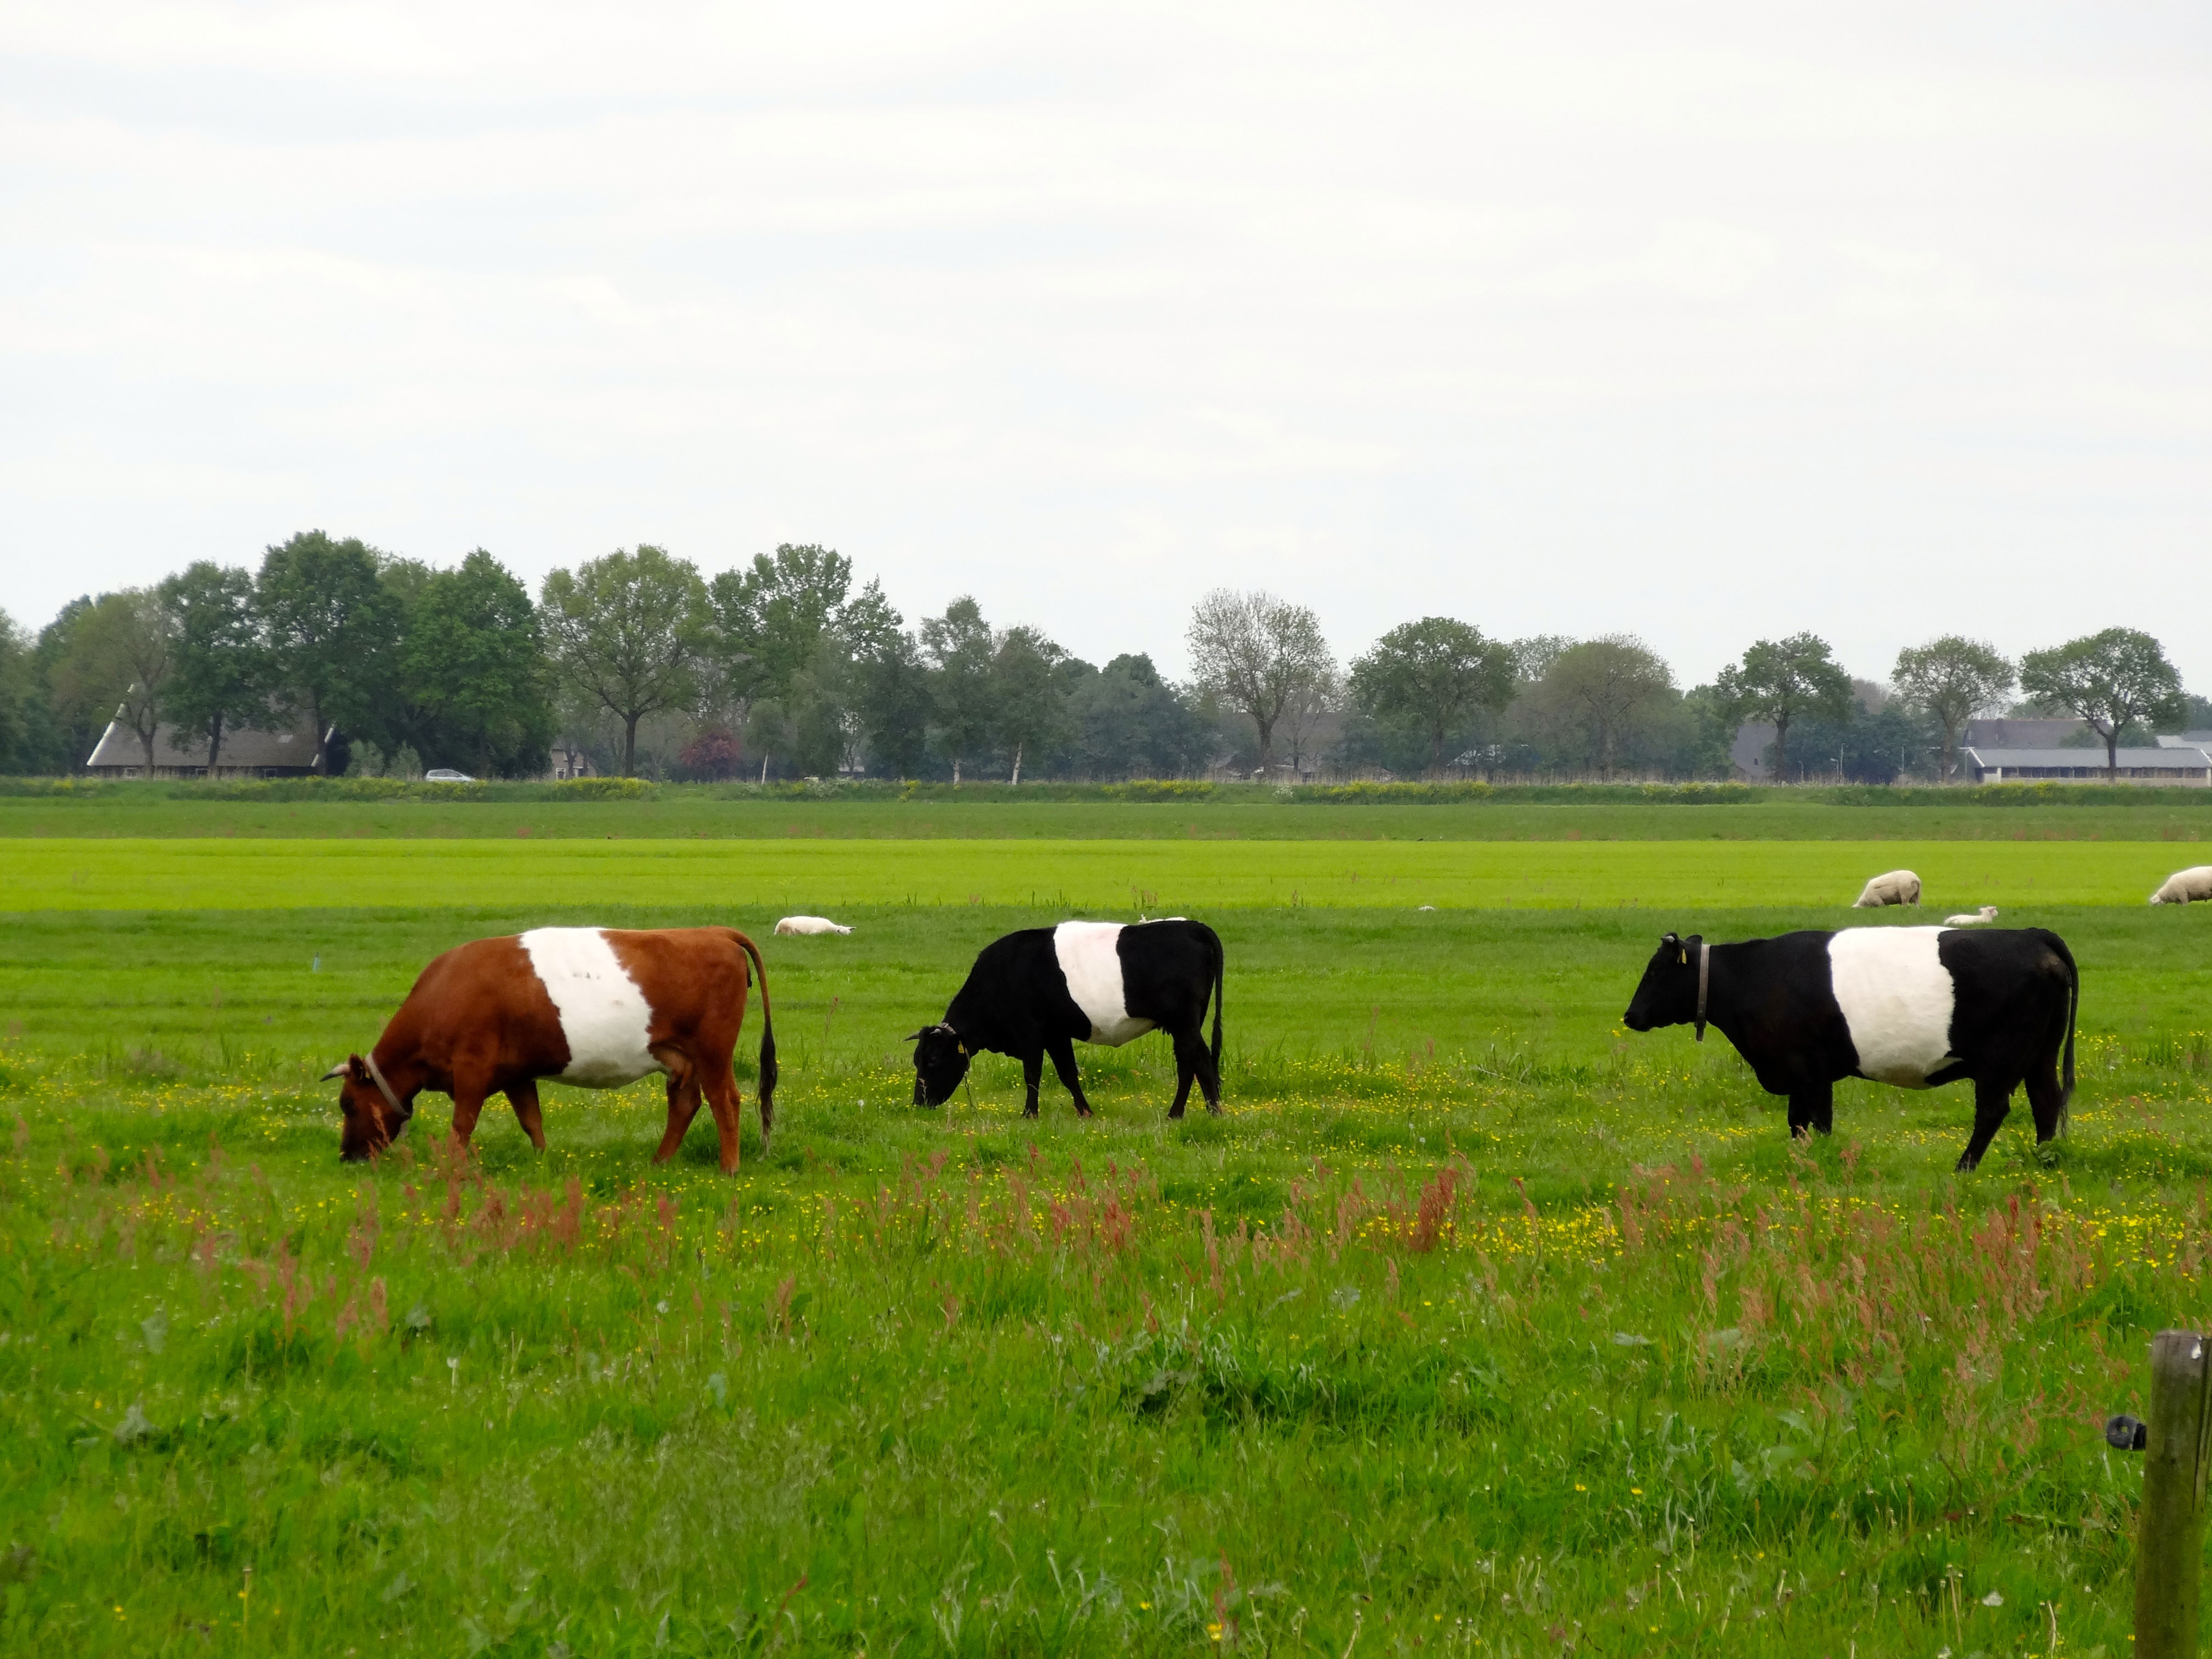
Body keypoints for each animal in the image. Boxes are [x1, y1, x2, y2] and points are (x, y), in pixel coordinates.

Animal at [323, 929, 778, 1177]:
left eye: (348, 1104)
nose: (346, 1157)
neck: (443, 994)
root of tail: (715, 932)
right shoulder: (515, 1074)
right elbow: (532, 1121)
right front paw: (543, 1161)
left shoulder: (472, 1068)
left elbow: (462, 1126)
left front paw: (452, 1167)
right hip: (678, 1057)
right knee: (685, 1104)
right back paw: (659, 1163)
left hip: (713, 1052)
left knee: (725, 1101)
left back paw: (729, 1168)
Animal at [911, 915, 1230, 1123]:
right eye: (917, 1061)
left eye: (932, 1061)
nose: (918, 1103)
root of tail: (1192, 926)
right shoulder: (1056, 1034)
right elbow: (1068, 1073)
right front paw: (1085, 1112)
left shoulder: (1030, 1032)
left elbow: (1032, 1074)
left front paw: (1029, 1115)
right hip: (1184, 1025)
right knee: (1188, 1062)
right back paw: (1179, 1114)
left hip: (1184, 1022)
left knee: (1199, 1060)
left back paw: (1212, 1114)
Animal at [1628, 929, 2070, 1177]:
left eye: (1654, 971)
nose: (1630, 1016)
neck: (1755, 976)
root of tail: (2032, 935)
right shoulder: (1796, 1075)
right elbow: (1797, 1124)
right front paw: (1799, 1161)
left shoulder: (1812, 1071)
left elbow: (1820, 1123)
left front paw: (1822, 1161)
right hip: (2042, 1056)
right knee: (2046, 1102)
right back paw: (2043, 1160)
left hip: (2000, 1060)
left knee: (1993, 1112)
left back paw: (1964, 1168)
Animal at [1849, 871, 1920, 911]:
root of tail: (1915, 878)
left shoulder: (1879, 901)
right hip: (1917, 895)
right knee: (1918, 905)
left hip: (1905, 894)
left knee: (1905, 905)